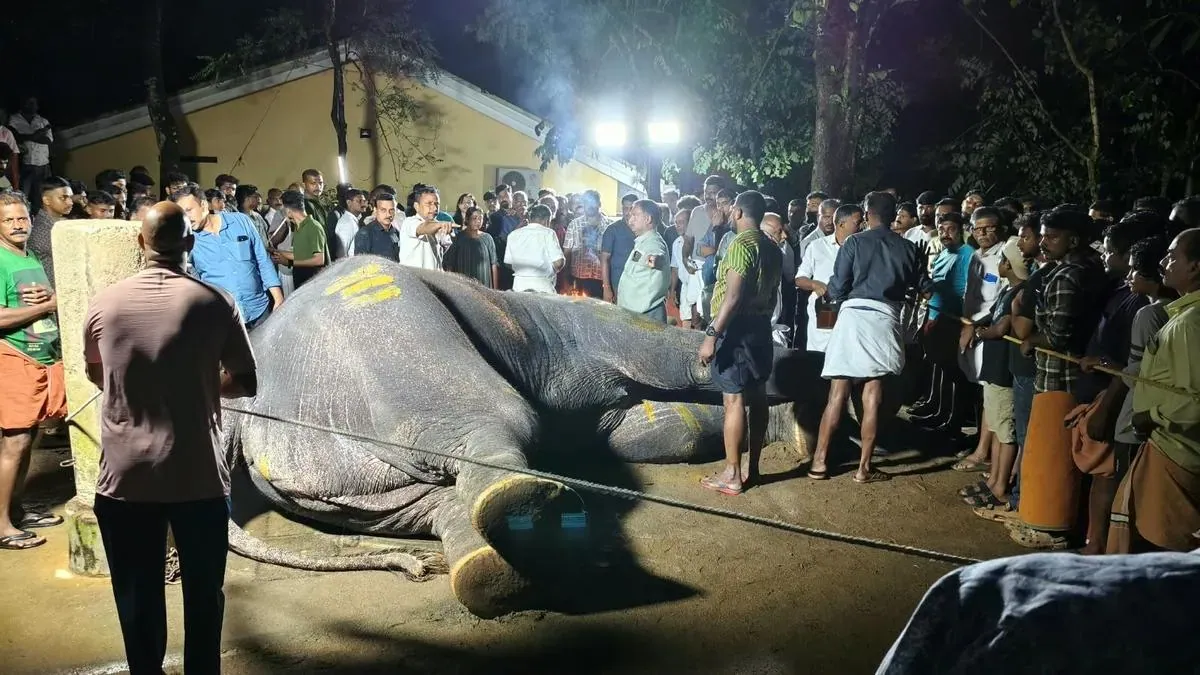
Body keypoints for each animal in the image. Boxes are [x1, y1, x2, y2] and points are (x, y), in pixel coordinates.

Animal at [224, 256, 855, 618]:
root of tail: (243, 397)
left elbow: (659, 429)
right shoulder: (604, 334)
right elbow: (680, 363)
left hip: (340, 478)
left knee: (432, 501)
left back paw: (490, 574)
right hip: (392, 340)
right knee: (497, 420)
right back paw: (525, 511)